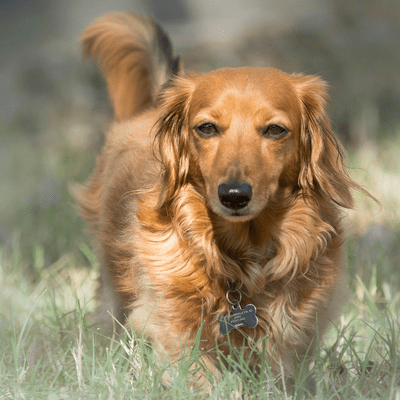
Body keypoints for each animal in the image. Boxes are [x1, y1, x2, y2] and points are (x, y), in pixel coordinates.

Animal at [74, 12, 368, 386]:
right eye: (207, 128)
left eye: (275, 129)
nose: (234, 196)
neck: (241, 258)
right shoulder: (172, 321)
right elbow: (199, 375)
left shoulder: (294, 327)